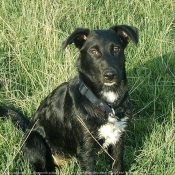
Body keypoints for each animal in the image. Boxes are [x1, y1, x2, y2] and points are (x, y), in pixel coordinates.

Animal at [0, 24, 139, 174]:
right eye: (94, 51)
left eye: (116, 49)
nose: (110, 75)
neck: (105, 103)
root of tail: (28, 127)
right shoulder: (86, 149)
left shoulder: (118, 139)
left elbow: (118, 165)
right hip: (36, 142)